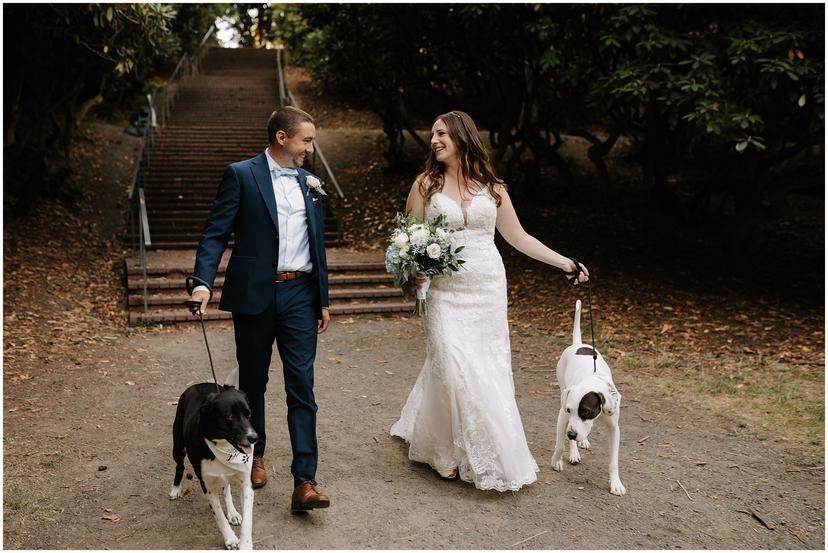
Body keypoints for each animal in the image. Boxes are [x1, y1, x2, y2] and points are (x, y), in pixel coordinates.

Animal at [169, 384, 258, 548]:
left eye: (248, 414)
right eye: (230, 417)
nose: (254, 438)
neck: (222, 445)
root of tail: (196, 385)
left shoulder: (246, 483)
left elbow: (248, 519)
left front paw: (245, 544)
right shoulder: (207, 487)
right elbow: (219, 516)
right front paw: (230, 539)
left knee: (226, 488)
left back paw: (232, 512)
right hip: (178, 447)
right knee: (180, 465)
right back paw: (176, 488)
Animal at [552, 300, 624, 494]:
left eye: (586, 411)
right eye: (569, 409)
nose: (571, 434)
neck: (593, 379)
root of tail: (578, 343)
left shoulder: (614, 429)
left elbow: (613, 461)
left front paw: (616, 484)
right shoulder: (563, 416)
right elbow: (560, 444)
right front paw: (557, 461)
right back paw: (574, 450)